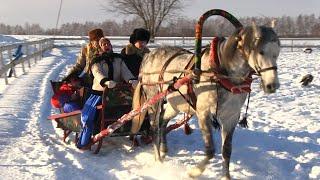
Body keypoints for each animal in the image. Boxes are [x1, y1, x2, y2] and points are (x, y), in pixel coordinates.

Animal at [131, 24, 278, 179]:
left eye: (277, 52)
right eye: (260, 52)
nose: (272, 85)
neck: (220, 73)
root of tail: (148, 56)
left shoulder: (231, 117)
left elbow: (227, 150)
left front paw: (226, 176)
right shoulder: (203, 113)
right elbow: (210, 151)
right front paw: (194, 172)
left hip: (174, 105)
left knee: (163, 122)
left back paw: (164, 150)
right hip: (153, 100)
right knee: (154, 127)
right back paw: (158, 159)